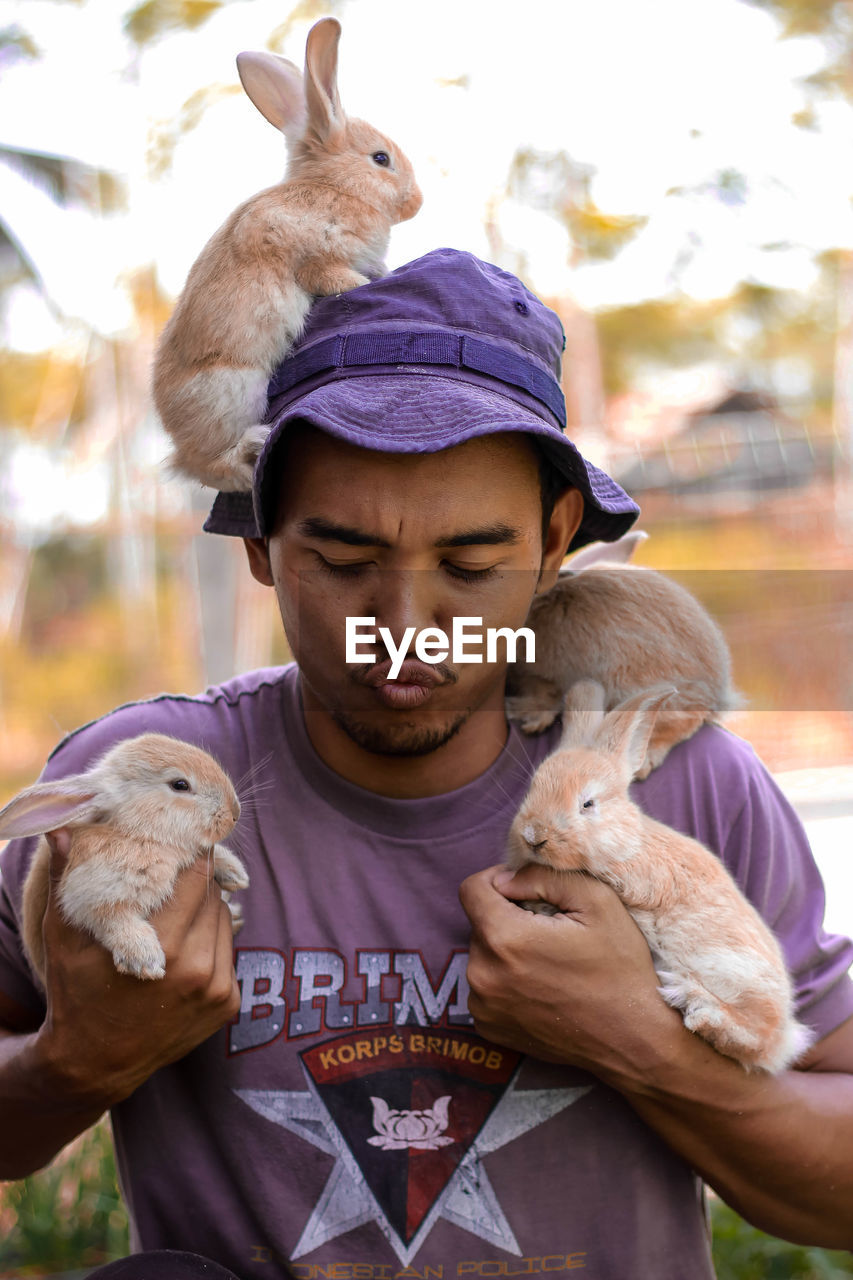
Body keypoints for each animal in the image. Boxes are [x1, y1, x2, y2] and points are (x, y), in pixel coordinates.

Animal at [0, 732, 251, 988]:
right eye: (180, 785)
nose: (235, 812)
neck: (138, 833)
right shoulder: (89, 893)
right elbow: (113, 920)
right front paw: (145, 960)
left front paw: (236, 875)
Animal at [151, 17, 422, 491]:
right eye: (380, 159)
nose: (417, 202)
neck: (334, 187)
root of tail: (179, 449)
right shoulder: (312, 255)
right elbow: (330, 276)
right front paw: (362, 283)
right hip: (235, 389)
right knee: (216, 464)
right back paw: (254, 445)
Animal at [504, 680, 809, 1070]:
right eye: (532, 788)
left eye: (587, 804)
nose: (533, 836)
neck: (627, 840)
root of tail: (787, 1036)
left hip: (731, 969)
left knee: (755, 1039)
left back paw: (697, 1005)